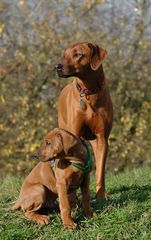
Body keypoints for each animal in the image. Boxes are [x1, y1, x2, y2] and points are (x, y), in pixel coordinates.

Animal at [54, 42, 112, 199]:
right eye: (64, 55)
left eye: (78, 54)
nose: (57, 66)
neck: (88, 92)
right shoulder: (74, 136)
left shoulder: (102, 137)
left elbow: (100, 170)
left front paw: (100, 196)